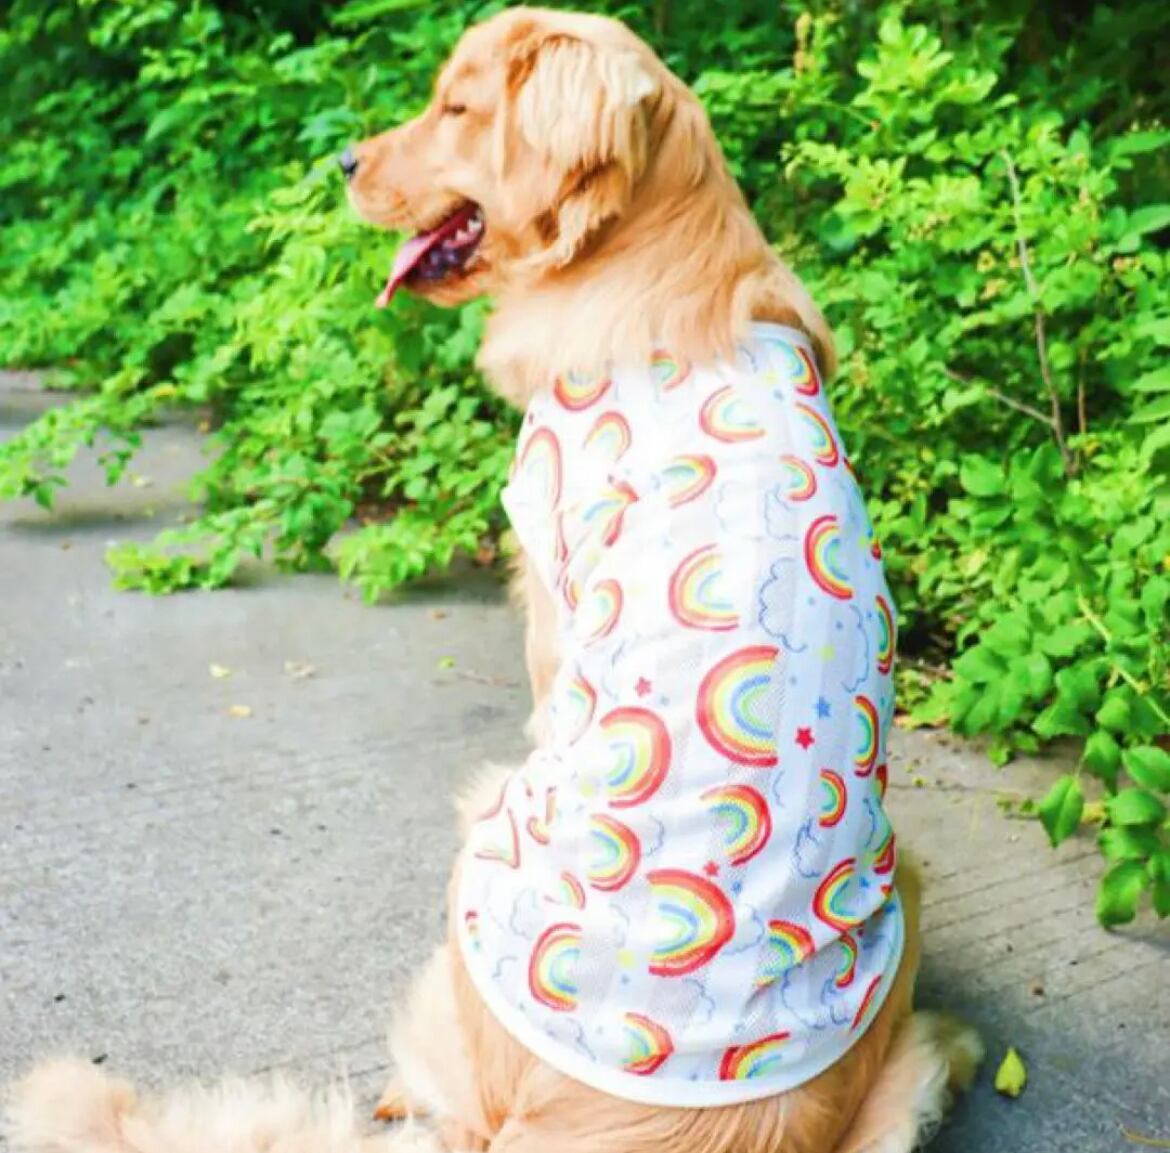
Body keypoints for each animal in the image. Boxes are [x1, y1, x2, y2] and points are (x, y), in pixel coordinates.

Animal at [6, 9, 981, 1153]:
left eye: (458, 108)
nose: (343, 161)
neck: (643, 255)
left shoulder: (548, 587)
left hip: (478, 847)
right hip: (902, 956)